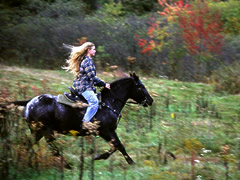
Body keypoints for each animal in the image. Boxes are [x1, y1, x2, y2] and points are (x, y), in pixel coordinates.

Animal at [8, 72, 154, 167]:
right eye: (141, 86)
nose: (150, 100)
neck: (108, 103)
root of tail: (29, 103)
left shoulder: (106, 132)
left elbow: (115, 147)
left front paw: (98, 157)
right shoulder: (106, 131)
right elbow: (119, 145)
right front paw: (131, 163)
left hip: (37, 132)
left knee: (28, 144)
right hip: (46, 131)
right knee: (54, 150)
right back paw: (66, 166)